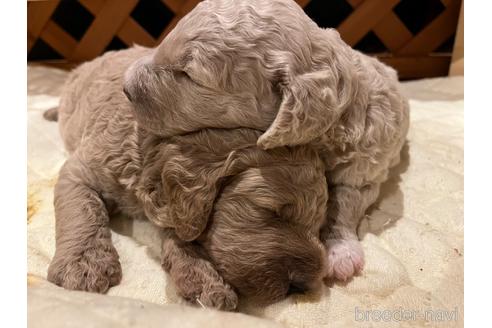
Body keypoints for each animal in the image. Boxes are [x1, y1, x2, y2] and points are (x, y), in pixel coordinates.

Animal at [47, 46, 330, 310]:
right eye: (272, 211)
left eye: (318, 226)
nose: (304, 286)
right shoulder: (81, 170)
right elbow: (83, 211)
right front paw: (84, 263)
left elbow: (181, 230)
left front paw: (201, 277)